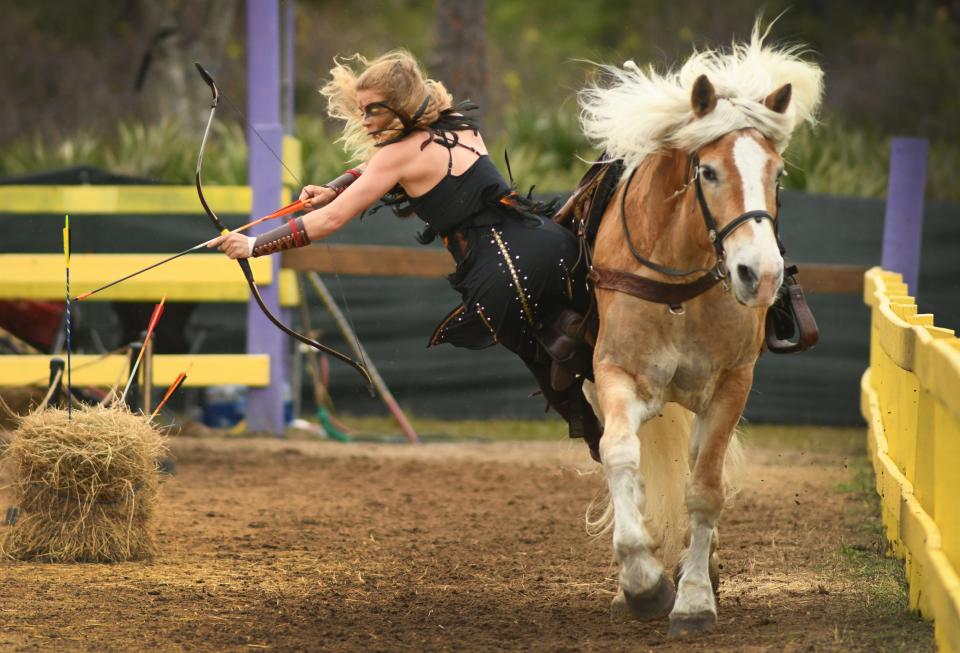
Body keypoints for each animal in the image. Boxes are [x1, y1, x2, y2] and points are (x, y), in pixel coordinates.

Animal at [572, 26, 820, 636]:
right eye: (707, 171)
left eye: (777, 174)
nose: (761, 274)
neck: (679, 288)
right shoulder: (617, 376)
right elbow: (620, 456)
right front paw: (641, 583)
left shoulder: (732, 385)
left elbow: (705, 489)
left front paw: (692, 599)